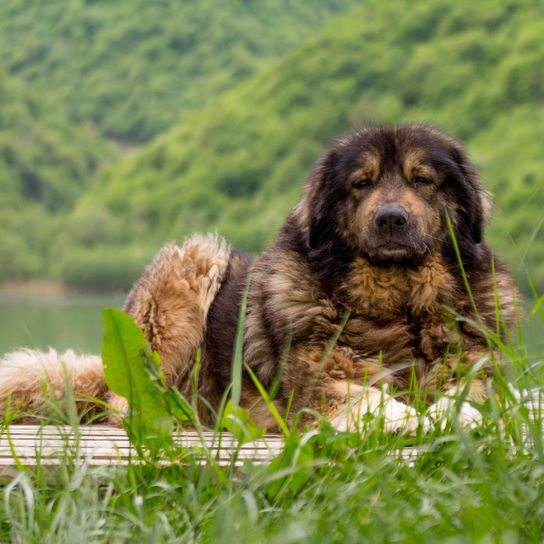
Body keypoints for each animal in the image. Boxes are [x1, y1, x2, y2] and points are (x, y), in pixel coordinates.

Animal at [0, 124, 520, 434]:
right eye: (362, 183)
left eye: (422, 180)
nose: (391, 219)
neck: (398, 305)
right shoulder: (315, 387)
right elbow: (374, 397)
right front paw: (413, 418)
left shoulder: (474, 364)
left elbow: (471, 395)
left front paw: (455, 414)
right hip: (192, 264)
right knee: (124, 403)